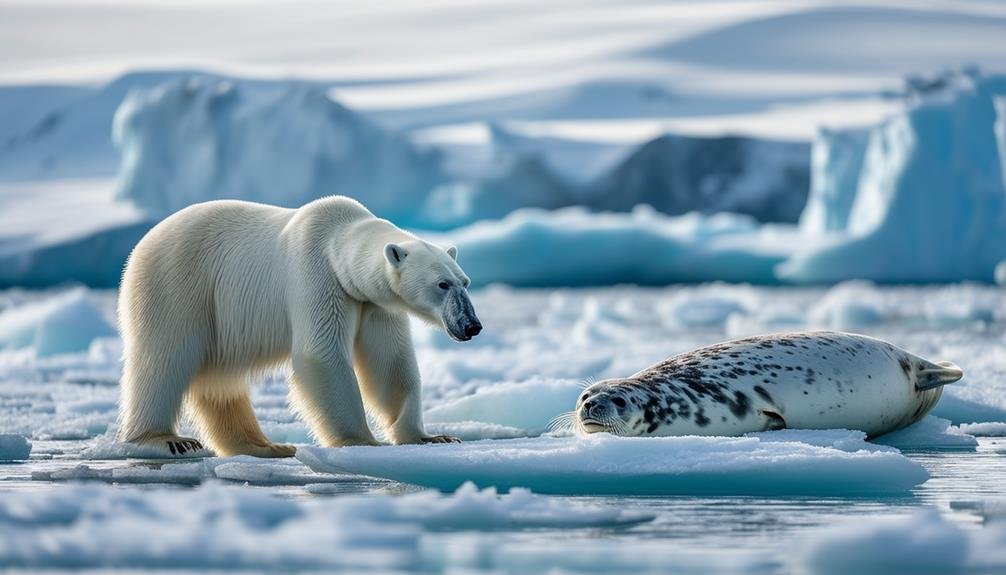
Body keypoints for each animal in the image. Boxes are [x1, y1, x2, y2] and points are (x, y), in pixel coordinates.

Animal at [115, 198, 480, 458]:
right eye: (442, 284)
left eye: (465, 282)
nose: (471, 325)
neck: (337, 237)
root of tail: (141, 245)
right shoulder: (317, 275)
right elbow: (321, 355)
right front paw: (361, 441)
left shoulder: (373, 303)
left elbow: (389, 363)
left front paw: (432, 437)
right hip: (177, 284)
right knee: (164, 358)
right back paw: (167, 440)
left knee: (220, 379)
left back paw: (265, 446)